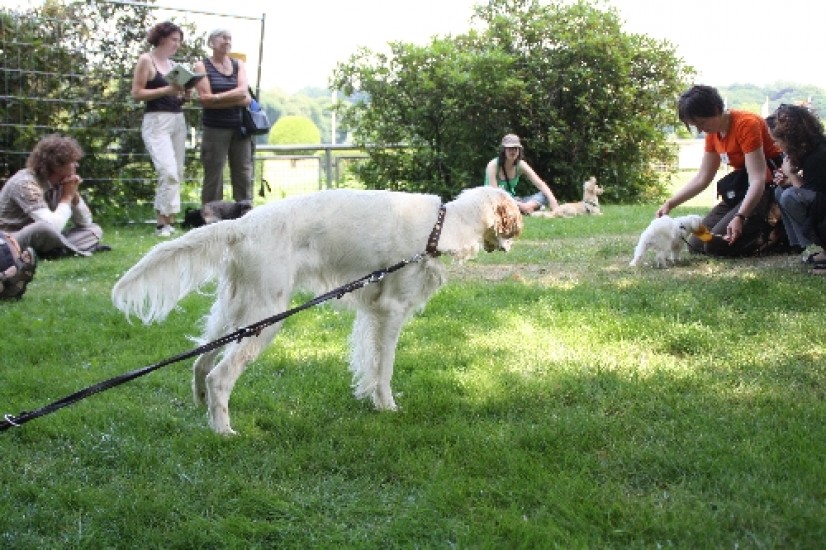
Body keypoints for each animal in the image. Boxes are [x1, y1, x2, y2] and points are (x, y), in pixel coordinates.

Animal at [112, 187, 522, 434]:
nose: (524, 223)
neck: (440, 227)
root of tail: (243, 224)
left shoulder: (371, 314)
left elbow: (370, 364)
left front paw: (369, 399)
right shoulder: (391, 312)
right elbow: (385, 369)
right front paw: (387, 407)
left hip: (235, 310)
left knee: (201, 362)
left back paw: (205, 410)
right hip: (264, 319)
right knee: (220, 375)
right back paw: (224, 431)